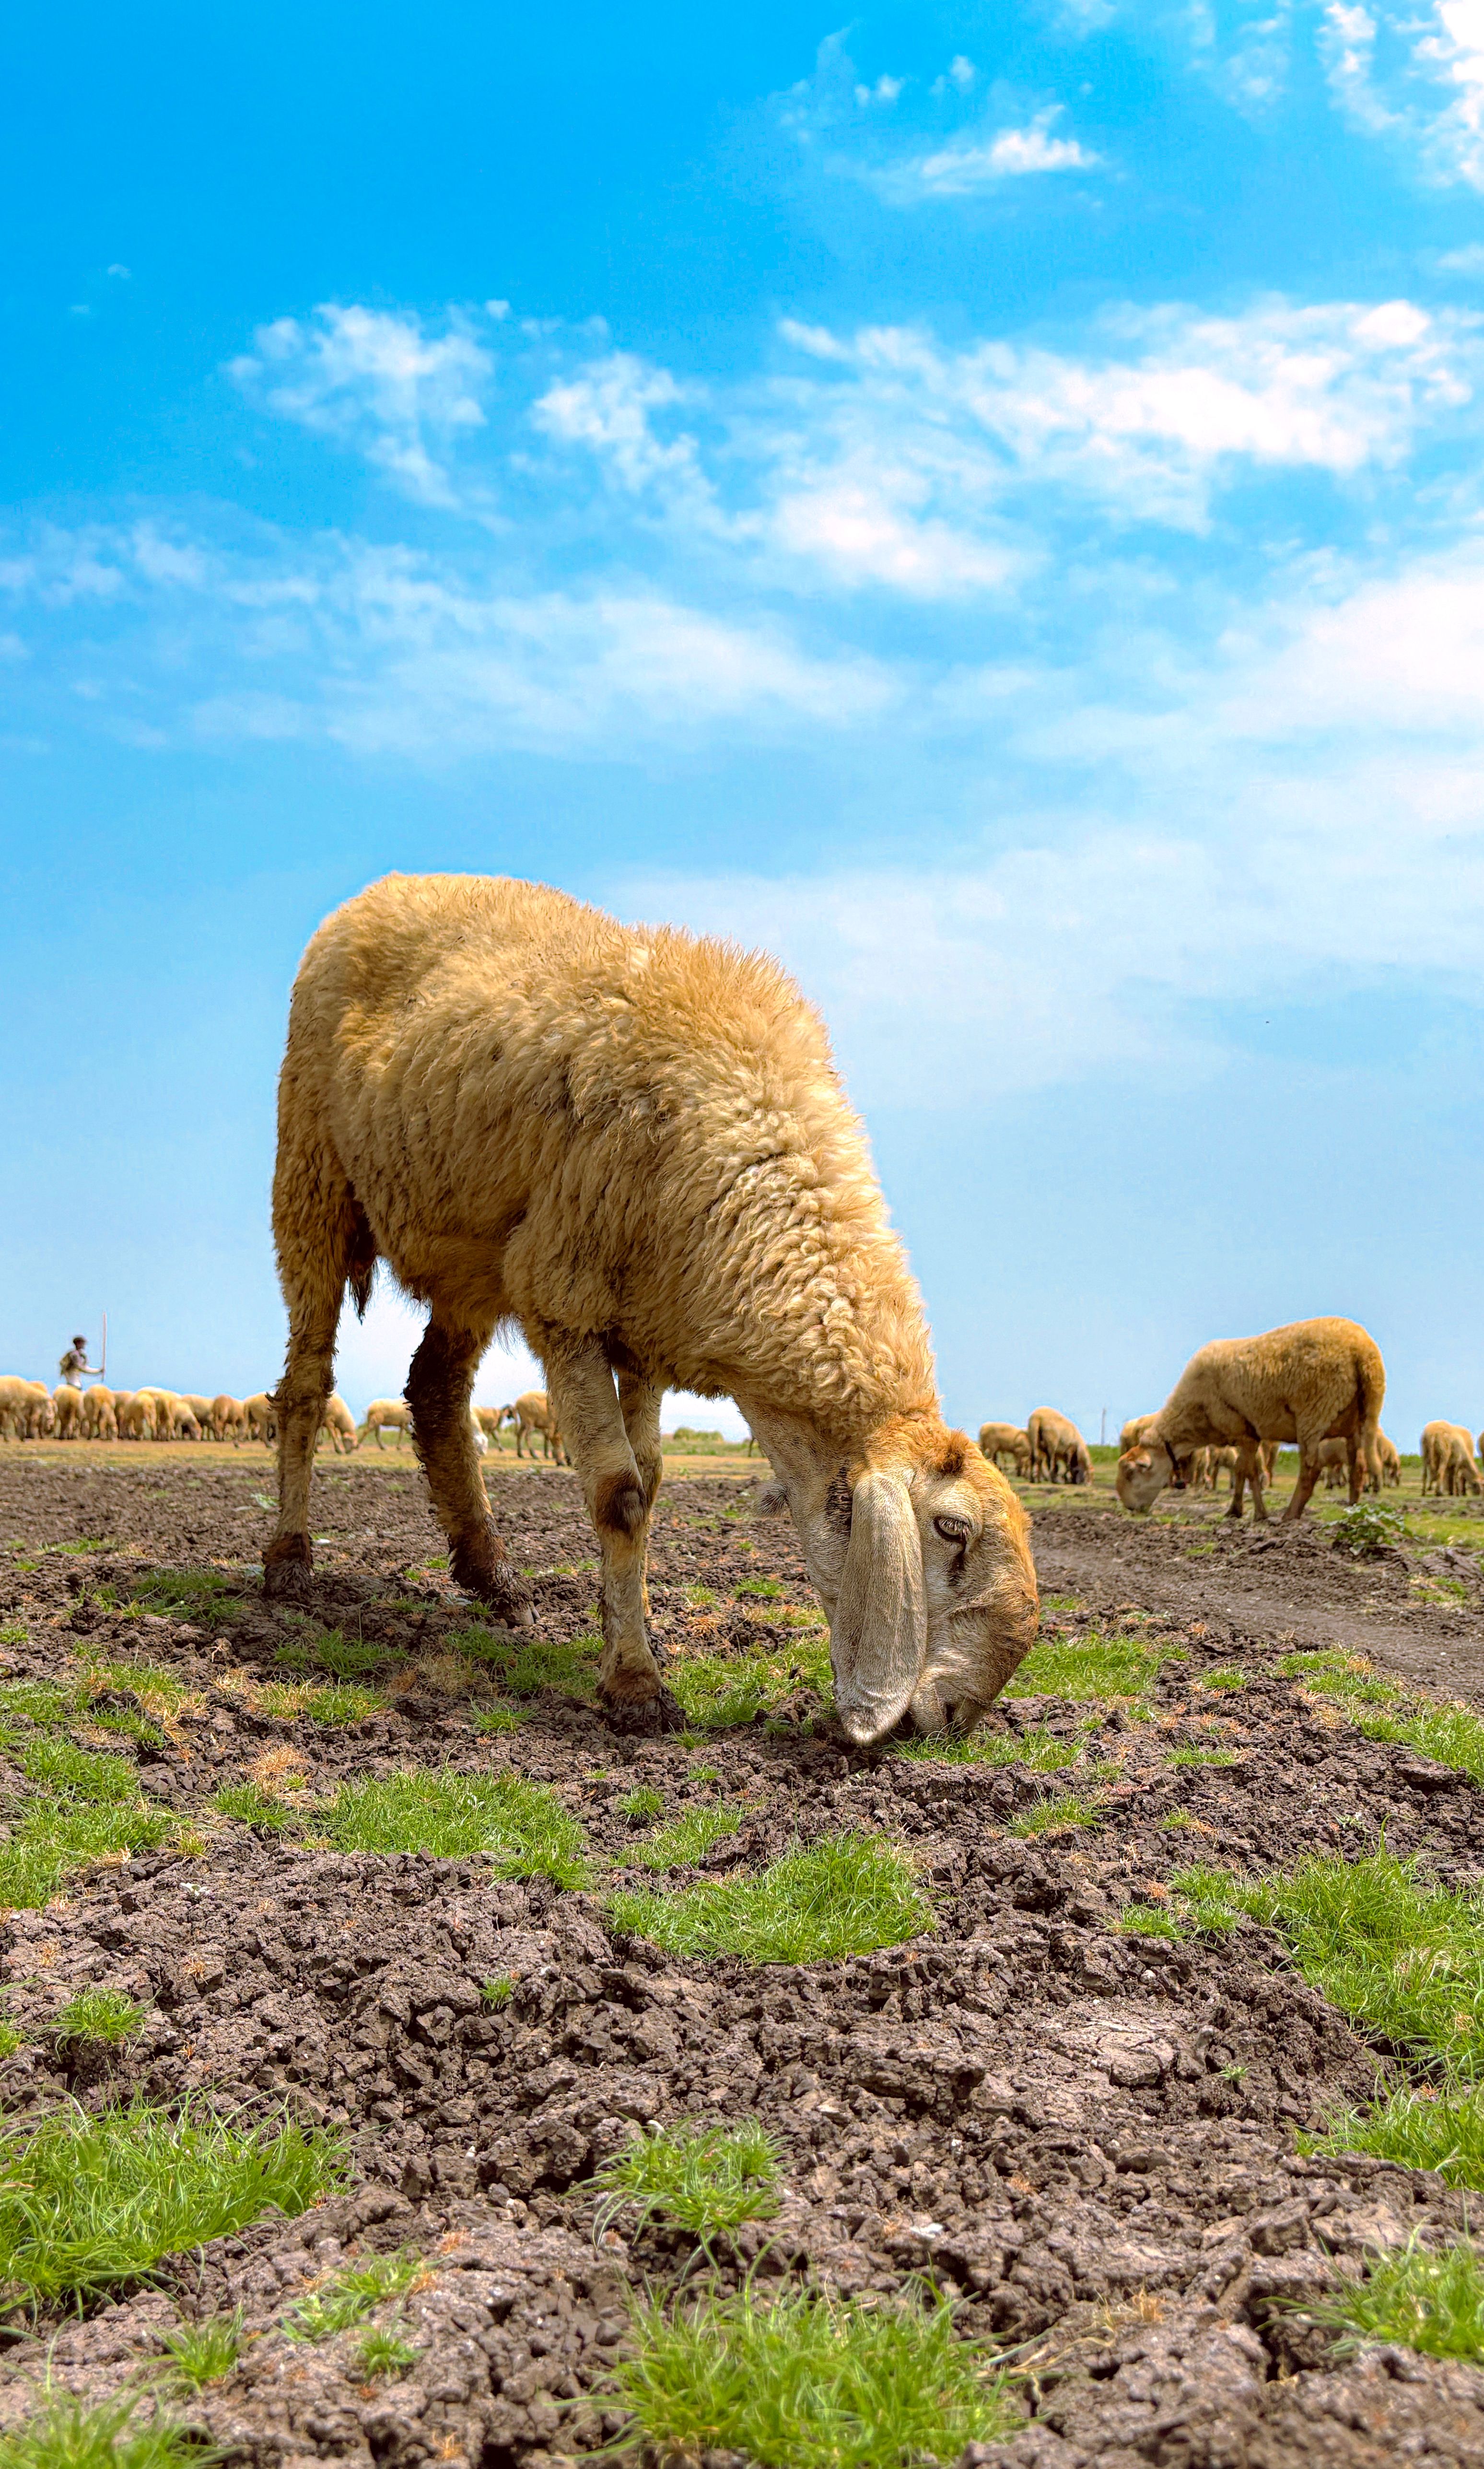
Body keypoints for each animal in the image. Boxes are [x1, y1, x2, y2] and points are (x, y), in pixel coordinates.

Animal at [264, 871, 1039, 1741]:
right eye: (951, 1530)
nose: (958, 1711)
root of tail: (387, 885)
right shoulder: (564, 1298)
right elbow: (621, 1497)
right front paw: (635, 1685)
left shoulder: (647, 1332)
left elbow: (655, 1482)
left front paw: (618, 1636)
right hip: (313, 1176)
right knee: (305, 1385)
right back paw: (290, 1562)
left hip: (472, 1257)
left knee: (434, 1389)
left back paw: (492, 1574)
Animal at [1027, 1409, 1091, 1485]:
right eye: (1089, 1474)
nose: (1089, 1485)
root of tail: (1037, 1417)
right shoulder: (1070, 1450)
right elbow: (1068, 1465)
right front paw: (1066, 1479)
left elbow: (1062, 1465)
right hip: (1051, 1442)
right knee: (1050, 1462)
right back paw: (1052, 1480)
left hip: (1033, 1437)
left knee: (1034, 1458)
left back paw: (1034, 1479)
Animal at [1116, 1317, 1385, 1524]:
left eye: (1131, 1473)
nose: (1130, 1508)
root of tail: (1364, 1352)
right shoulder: (1250, 1435)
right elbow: (1244, 1470)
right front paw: (1240, 1511)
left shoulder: (1242, 1430)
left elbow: (1248, 1471)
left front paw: (1252, 1514)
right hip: (1358, 1419)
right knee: (1358, 1468)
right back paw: (1353, 1512)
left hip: (1315, 1410)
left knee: (1311, 1469)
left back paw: (1290, 1516)